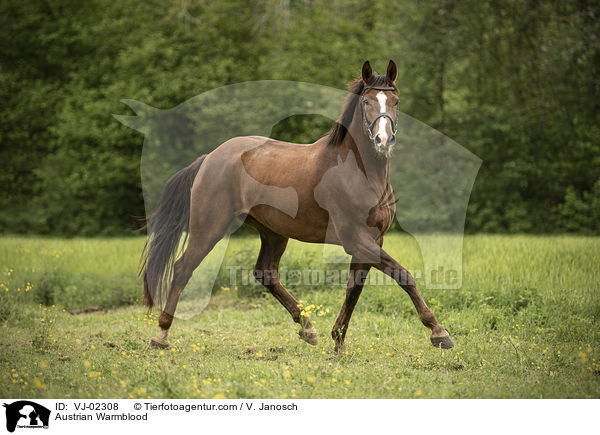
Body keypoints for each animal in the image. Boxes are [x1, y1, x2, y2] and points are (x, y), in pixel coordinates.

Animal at [141, 60, 452, 354]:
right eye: (366, 102)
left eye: (396, 101)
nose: (383, 140)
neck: (360, 173)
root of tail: (210, 158)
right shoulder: (355, 239)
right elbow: (403, 275)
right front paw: (438, 332)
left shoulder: (373, 239)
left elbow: (355, 288)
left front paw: (338, 341)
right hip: (210, 227)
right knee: (183, 268)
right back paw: (161, 336)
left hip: (273, 232)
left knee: (266, 273)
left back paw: (307, 328)